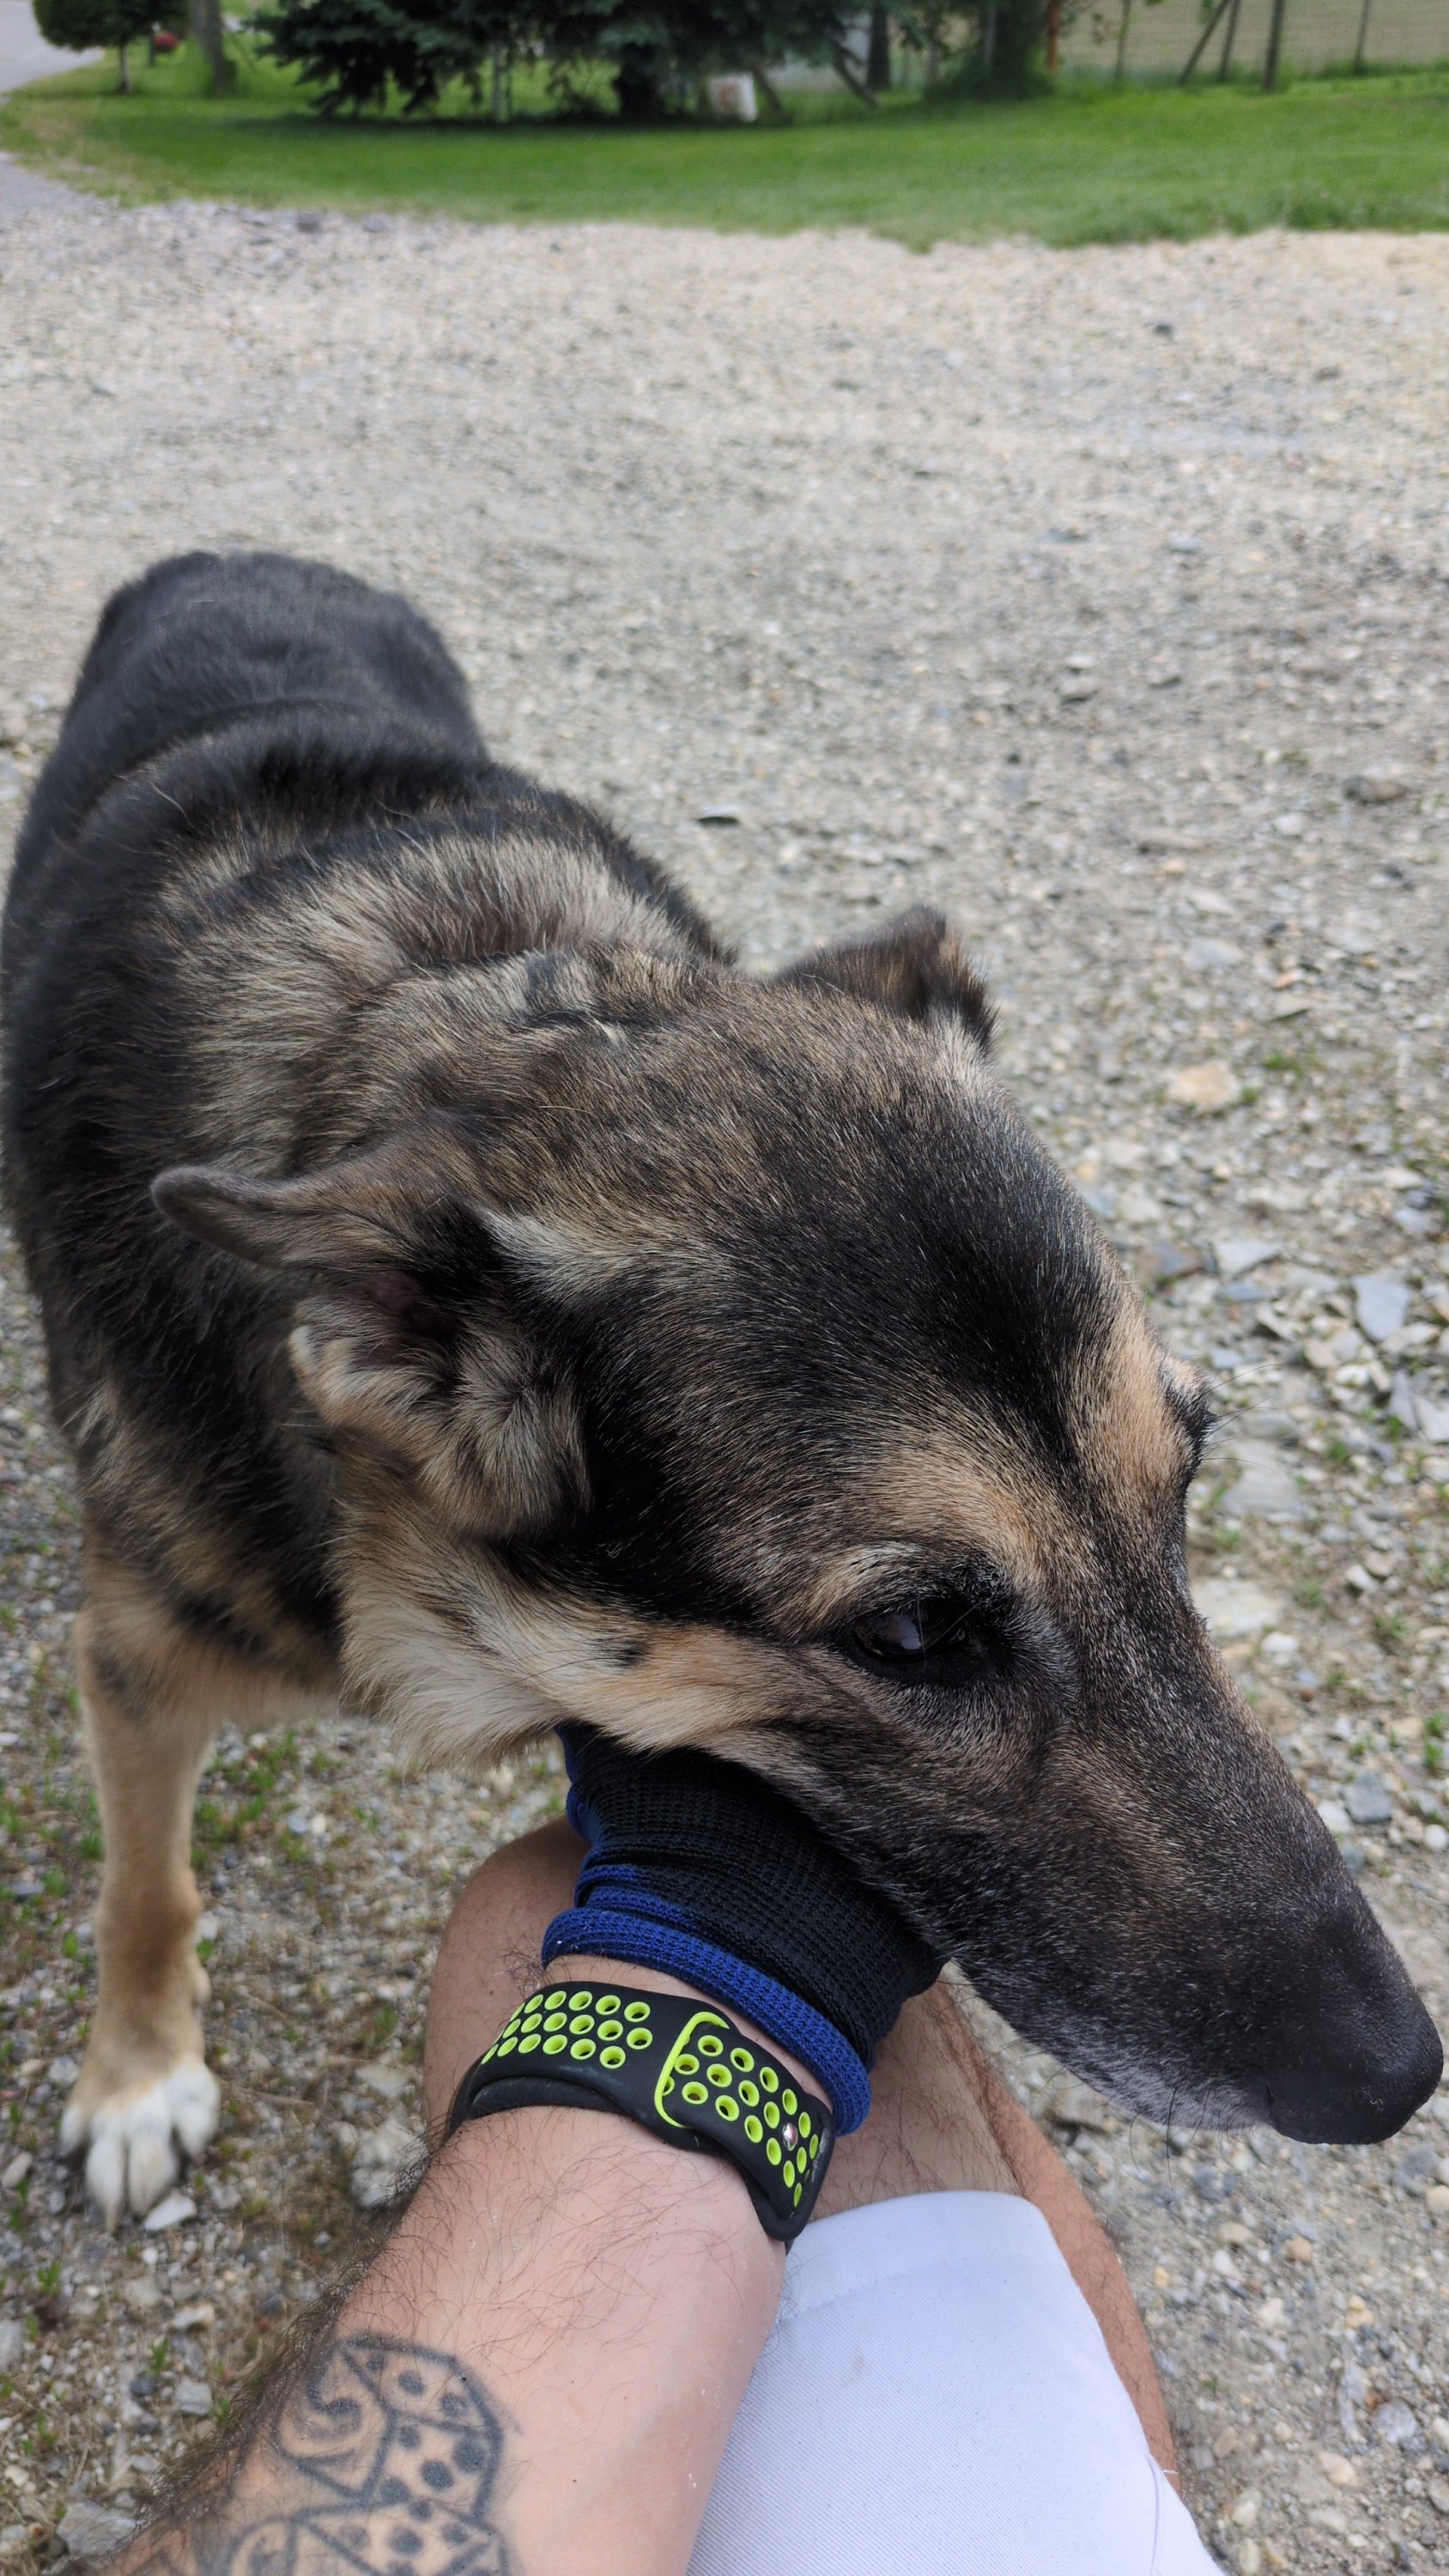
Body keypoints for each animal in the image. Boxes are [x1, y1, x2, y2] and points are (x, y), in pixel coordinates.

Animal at [2, 550, 1439, 2227]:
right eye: (912, 1636)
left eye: (1189, 1480)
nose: (1399, 2074)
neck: (445, 1011)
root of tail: (240, 555)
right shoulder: (138, 1666)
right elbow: (142, 1887)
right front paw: (135, 2072)